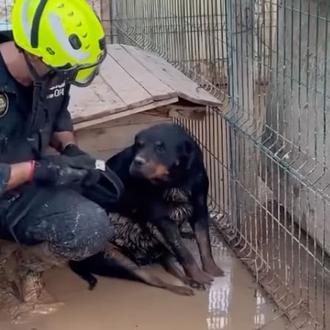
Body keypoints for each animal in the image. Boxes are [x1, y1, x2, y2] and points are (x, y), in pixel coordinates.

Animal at [70, 122, 224, 296]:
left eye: (160, 148)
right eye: (139, 145)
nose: (137, 162)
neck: (176, 181)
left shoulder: (200, 209)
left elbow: (204, 243)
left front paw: (212, 270)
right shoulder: (162, 219)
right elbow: (184, 252)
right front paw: (199, 276)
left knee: (170, 265)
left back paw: (189, 278)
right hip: (114, 257)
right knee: (155, 280)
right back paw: (181, 288)